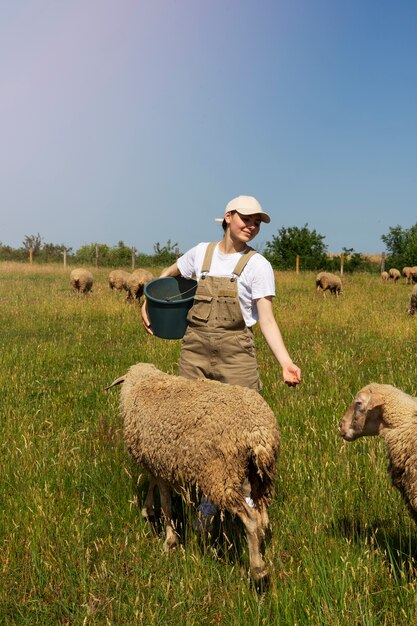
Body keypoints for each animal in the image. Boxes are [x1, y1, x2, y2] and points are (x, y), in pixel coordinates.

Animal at [105, 360, 280, 580]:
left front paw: (170, 540)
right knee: (262, 514)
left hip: (220, 476)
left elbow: (166, 505)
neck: (143, 383)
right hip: (259, 475)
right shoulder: (158, 459)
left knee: (251, 519)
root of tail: (258, 431)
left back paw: (258, 570)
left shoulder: (160, 464)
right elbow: (153, 484)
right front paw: (148, 509)